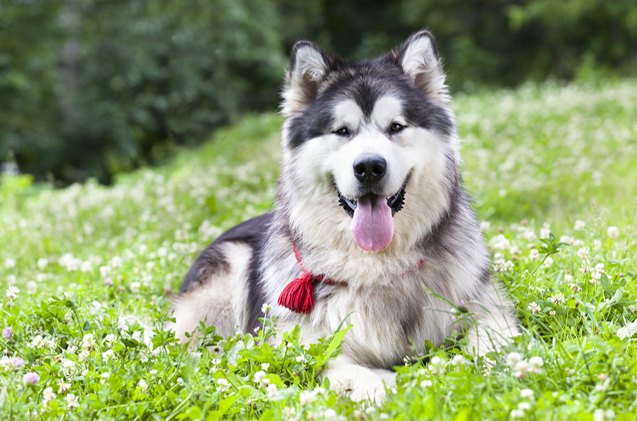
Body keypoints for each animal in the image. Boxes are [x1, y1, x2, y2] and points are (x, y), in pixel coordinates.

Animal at [173, 28, 516, 400]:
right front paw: (386, 387)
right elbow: (350, 371)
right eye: (341, 131)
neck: (378, 262)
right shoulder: (304, 343)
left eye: (396, 127)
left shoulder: (486, 304)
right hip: (226, 273)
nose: (369, 167)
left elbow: (492, 338)